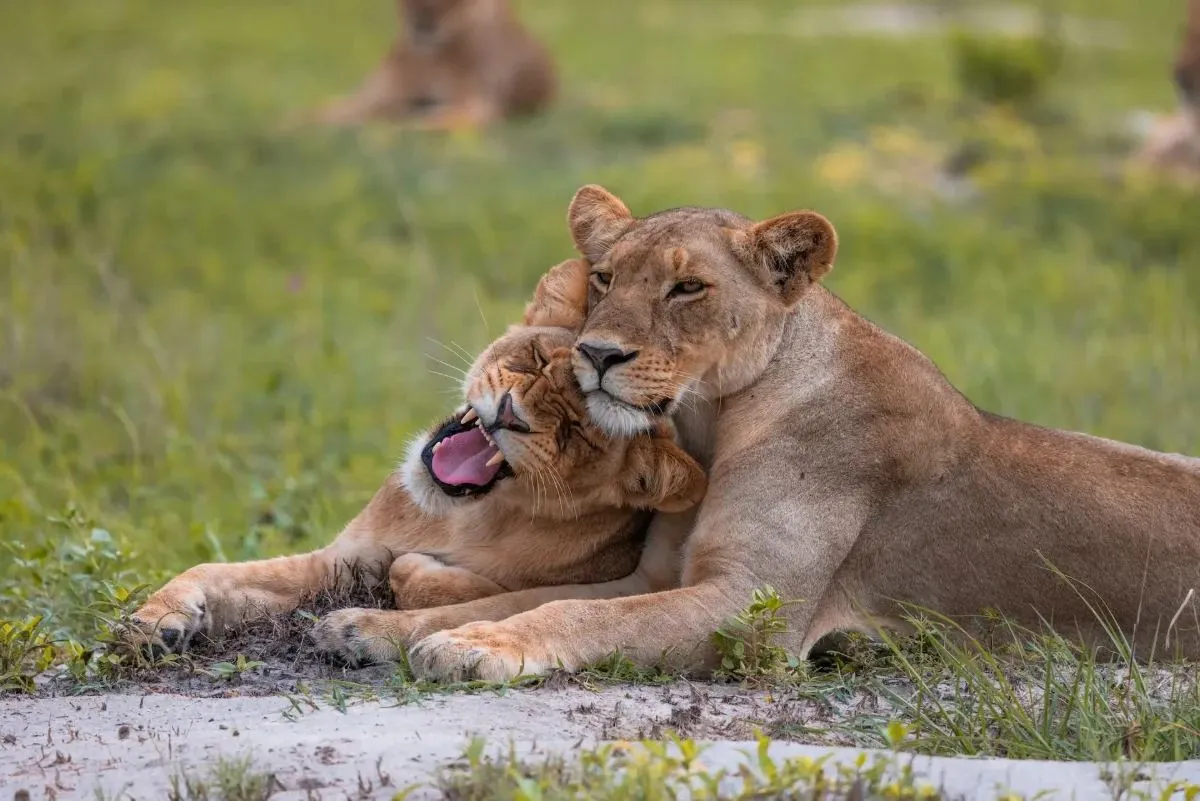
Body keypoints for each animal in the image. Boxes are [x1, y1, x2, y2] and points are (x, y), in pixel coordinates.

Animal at [128, 259, 705, 665]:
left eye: (577, 431)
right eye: (536, 360)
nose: (511, 415)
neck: (458, 517)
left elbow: (434, 579)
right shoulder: (343, 556)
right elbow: (210, 569)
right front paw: (154, 620)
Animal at [408, 184, 1200, 683]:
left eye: (688, 288)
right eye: (603, 277)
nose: (596, 354)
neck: (712, 421)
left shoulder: (752, 612)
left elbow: (576, 614)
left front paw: (478, 647)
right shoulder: (657, 576)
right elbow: (524, 599)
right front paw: (400, 629)